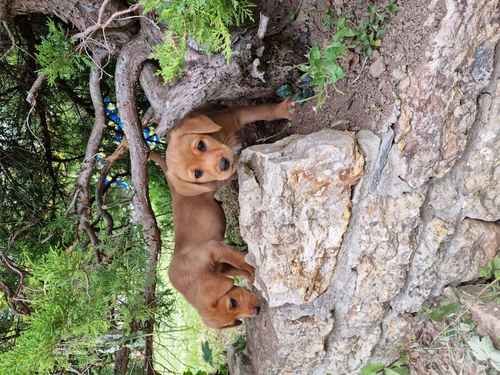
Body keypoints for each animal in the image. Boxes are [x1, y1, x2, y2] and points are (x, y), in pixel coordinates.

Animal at [149, 153, 258, 328]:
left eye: (232, 302)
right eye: (236, 321)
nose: (257, 311)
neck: (191, 277)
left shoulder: (216, 249)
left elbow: (240, 261)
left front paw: (253, 269)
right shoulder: (222, 269)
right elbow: (240, 270)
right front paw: (252, 277)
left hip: (209, 184)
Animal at [166, 99, 294, 197]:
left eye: (200, 145)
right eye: (197, 174)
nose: (224, 164)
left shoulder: (234, 116)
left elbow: (260, 112)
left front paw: (282, 110)